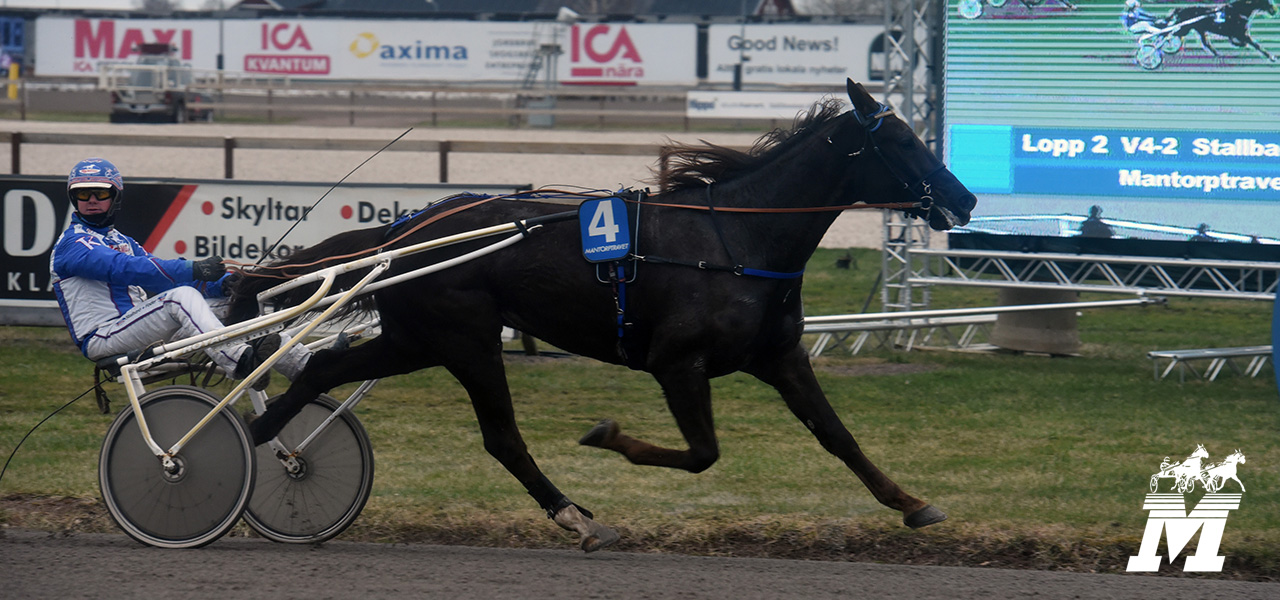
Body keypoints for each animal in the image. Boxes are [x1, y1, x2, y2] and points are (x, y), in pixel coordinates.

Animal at [232, 80, 977, 552]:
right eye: (902, 143)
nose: (965, 199)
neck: (738, 241)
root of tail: (405, 231)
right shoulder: (677, 363)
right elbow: (702, 453)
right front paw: (607, 435)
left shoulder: (779, 356)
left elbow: (838, 436)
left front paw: (914, 504)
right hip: (466, 338)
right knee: (502, 438)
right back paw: (576, 517)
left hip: (419, 338)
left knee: (321, 370)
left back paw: (263, 448)